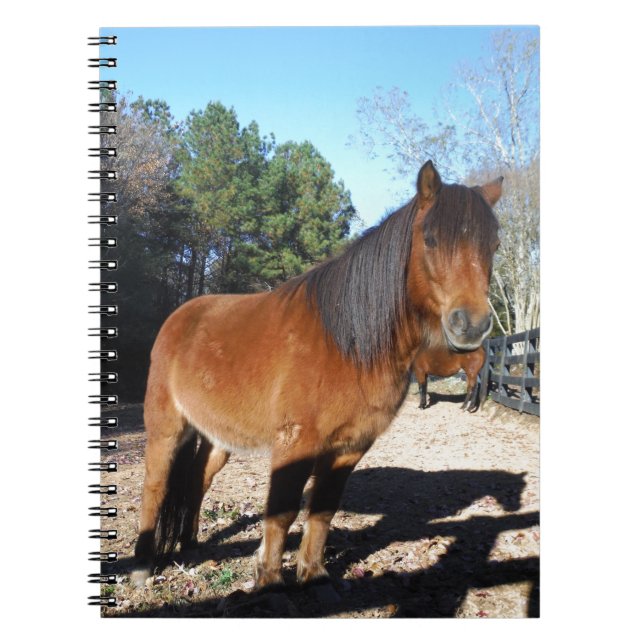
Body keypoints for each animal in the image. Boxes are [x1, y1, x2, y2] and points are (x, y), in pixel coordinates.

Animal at [132, 160, 503, 589]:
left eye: (494, 245)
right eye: (431, 239)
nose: (471, 325)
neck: (349, 343)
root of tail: (178, 318)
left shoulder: (349, 447)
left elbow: (322, 510)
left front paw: (313, 574)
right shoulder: (296, 444)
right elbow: (282, 512)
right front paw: (269, 580)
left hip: (218, 436)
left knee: (198, 480)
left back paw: (191, 546)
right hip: (167, 429)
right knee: (154, 487)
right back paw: (141, 568)